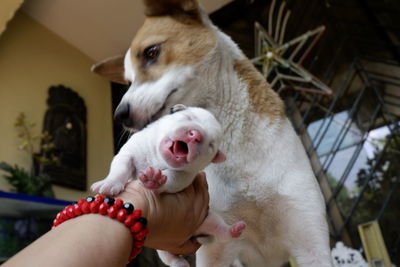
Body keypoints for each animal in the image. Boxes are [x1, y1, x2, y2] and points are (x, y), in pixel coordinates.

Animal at [92, 104, 245, 267]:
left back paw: (233, 230)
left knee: (220, 231)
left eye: (211, 145)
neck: (158, 158)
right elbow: (120, 166)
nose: (195, 135)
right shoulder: (130, 150)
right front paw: (109, 183)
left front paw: (155, 181)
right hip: (162, 244)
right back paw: (180, 262)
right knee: (168, 255)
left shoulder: (183, 175)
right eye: (188, 117)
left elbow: (172, 179)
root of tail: (197, 234)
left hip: (209, 217)